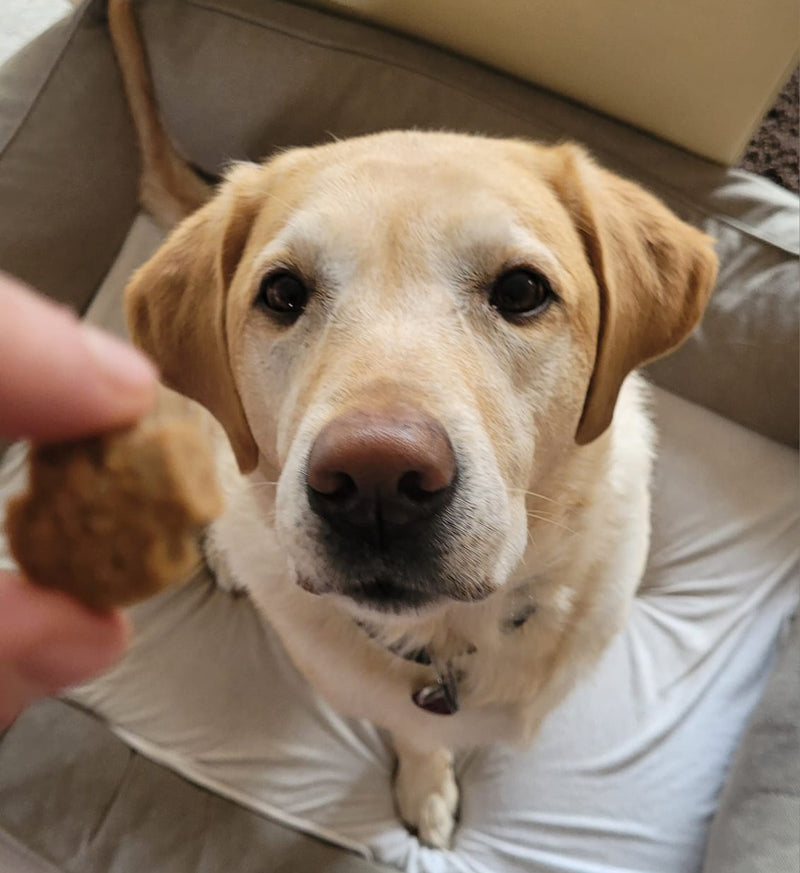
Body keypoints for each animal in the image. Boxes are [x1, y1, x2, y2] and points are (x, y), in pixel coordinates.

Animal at [108, 0, 720, 844]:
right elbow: (416, 735)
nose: (374, 478)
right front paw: (427, 786)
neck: (454, 636)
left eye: (523, 290)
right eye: (282, 293)